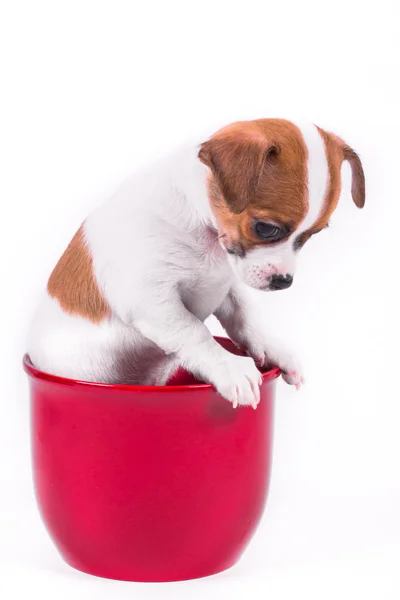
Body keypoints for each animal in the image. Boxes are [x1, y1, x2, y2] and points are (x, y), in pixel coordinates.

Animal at [28, 117, 366, 408]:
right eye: (266, 228)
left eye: (312, 235)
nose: (284, 282)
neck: (207, 236)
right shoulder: (151, 299)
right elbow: (195, 332)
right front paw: (229, 367)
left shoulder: (226, 286)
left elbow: (245, 318)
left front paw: (271, 346)